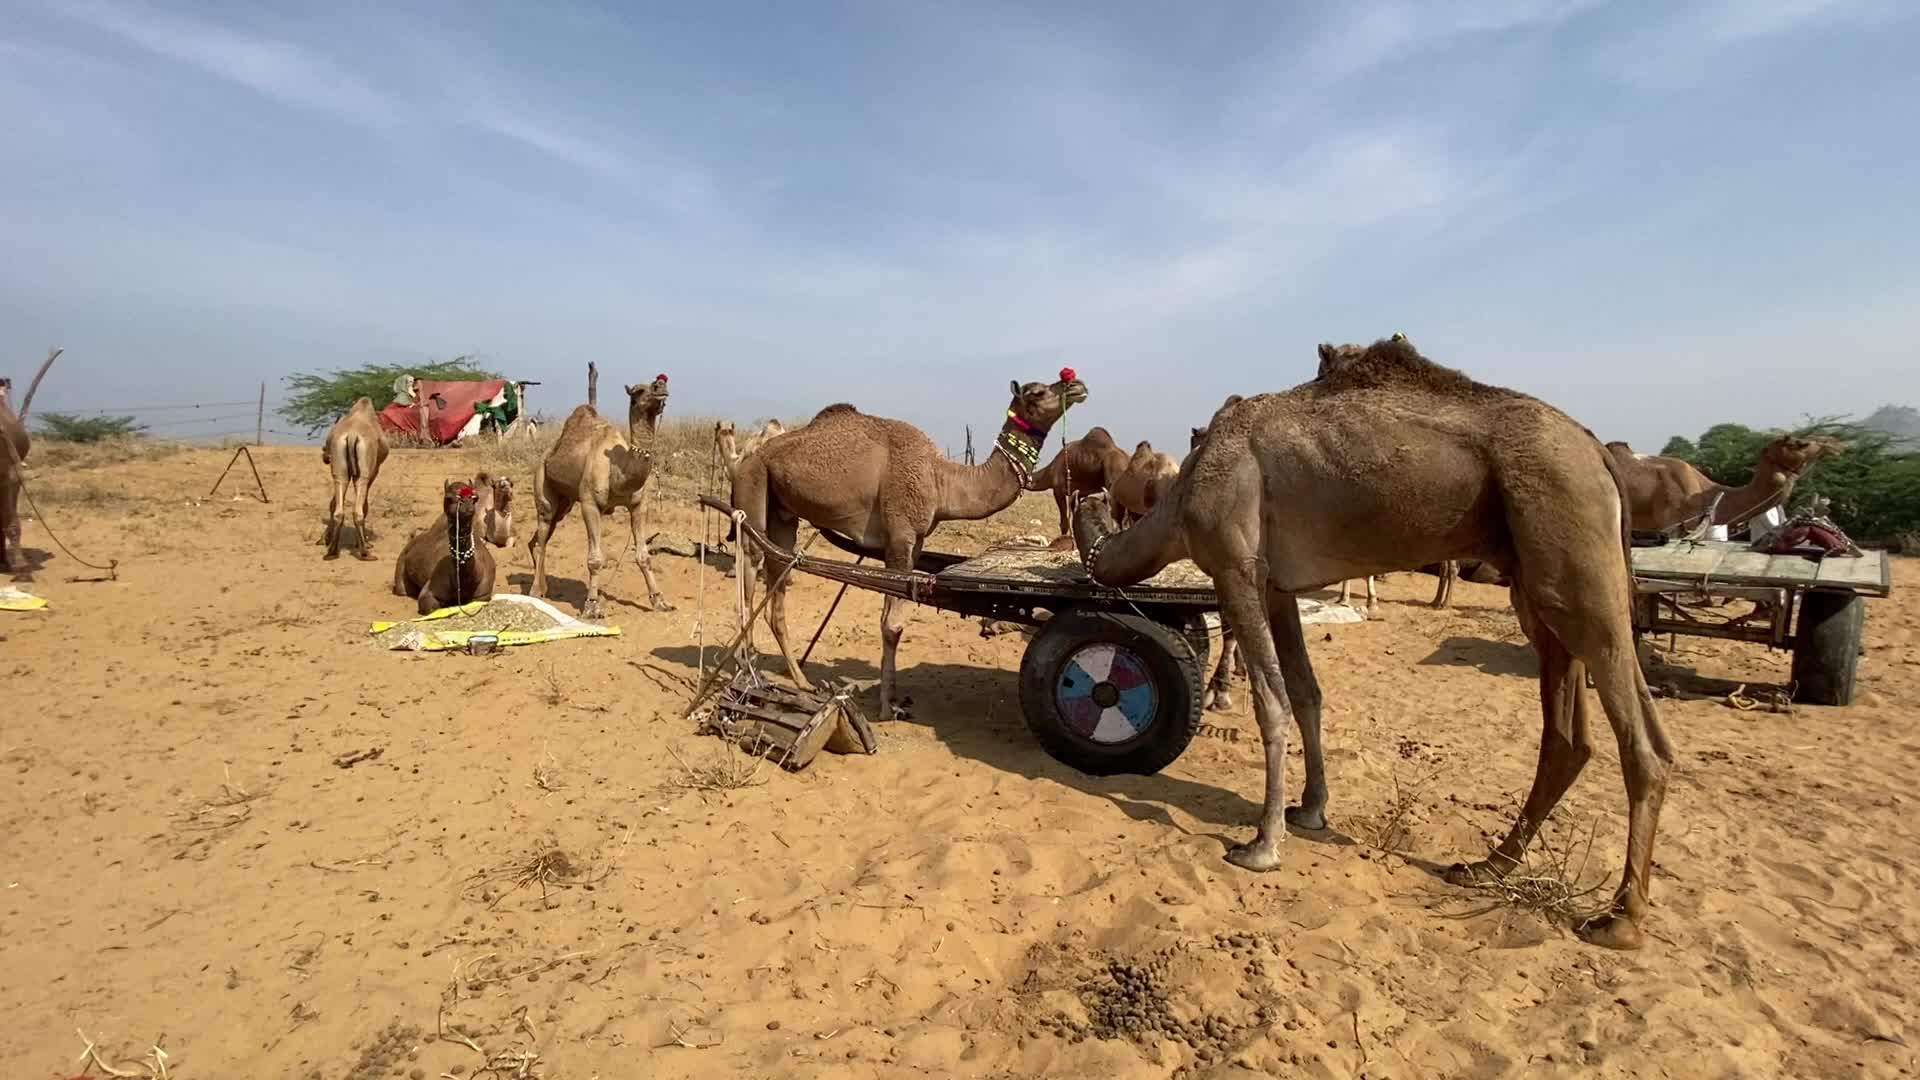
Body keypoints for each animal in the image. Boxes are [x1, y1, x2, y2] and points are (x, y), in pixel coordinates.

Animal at [319, 397, 390, 561]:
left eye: (326, 444)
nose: (325, 457)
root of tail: (351, 435)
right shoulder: (374, 470)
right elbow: (365, 505)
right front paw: (364, 543)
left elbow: (333, 503)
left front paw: (324, 539)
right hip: (363, 474)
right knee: (358, 510)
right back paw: (365, 552)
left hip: (340, 471)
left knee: (339, 510)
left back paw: (332, 551)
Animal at [394, 479, 497, 614]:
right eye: (449, 498)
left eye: (475, 498)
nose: (466, 505)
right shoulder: (429, 591)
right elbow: (428, 605)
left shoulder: (483, 595)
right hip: (402, 559)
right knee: (402, 589)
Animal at [528, 374, 673, 619]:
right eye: (638, 391)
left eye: (658, 383)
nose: (660, 386)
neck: (619, 472)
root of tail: (545, 456)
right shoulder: (589, 504)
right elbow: (595, 559)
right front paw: (591, 606)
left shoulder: (638, 505)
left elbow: (644, 556)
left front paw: (660, 601)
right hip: (542, 484)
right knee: (543, 528)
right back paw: (535, 591)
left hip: (565, 503)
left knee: (541, 539)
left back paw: (543, 587)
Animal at [728, 368, 1088, 719]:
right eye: (1037, 392)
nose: (1077, 385)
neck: (941, 480)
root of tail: (750, 455)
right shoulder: (900, 534)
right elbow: (893, 625)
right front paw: (888, 706)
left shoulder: (914, 542)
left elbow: (893, 618)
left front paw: (893, 700)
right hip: (753, 482)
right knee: (750, 562)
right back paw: (746, 667)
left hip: (783, 512)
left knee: (778, 573)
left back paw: (800, 681)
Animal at [1073, 337, 1671, 949]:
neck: (1181, 495)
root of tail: (1598, 452)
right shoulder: (1277, 585)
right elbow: (1306, 692)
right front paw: (1311, 810)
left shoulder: (1233, 564)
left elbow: (1271, 701)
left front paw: (1263, 844)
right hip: (1540, 585)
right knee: (1567, 735)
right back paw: (1488, 865)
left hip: (1575, 560)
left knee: (1642, 742)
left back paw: (1620, 918)